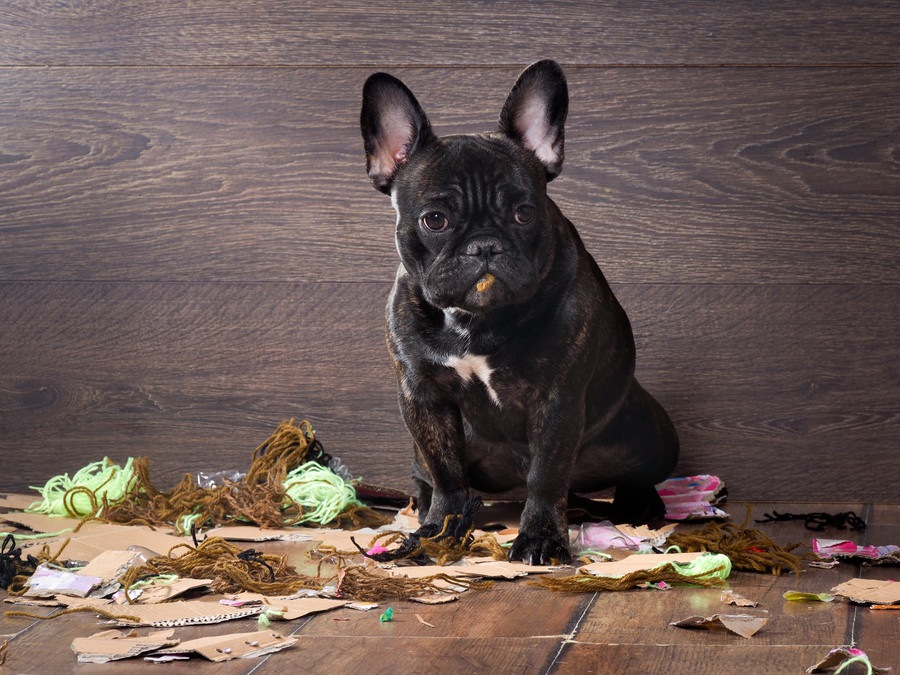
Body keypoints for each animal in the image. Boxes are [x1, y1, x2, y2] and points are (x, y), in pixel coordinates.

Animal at [358, 60, 676, 564]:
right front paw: (440, 532)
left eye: (525, 213)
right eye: (435, 220)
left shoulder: (558, 400)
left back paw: (640, 503)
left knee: (631, 473)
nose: (485, 245)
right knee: (429, 475)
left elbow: (546, 476)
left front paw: (541, 539)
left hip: (652, 434)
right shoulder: (424, 398)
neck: (476, 320)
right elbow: (446, 472)